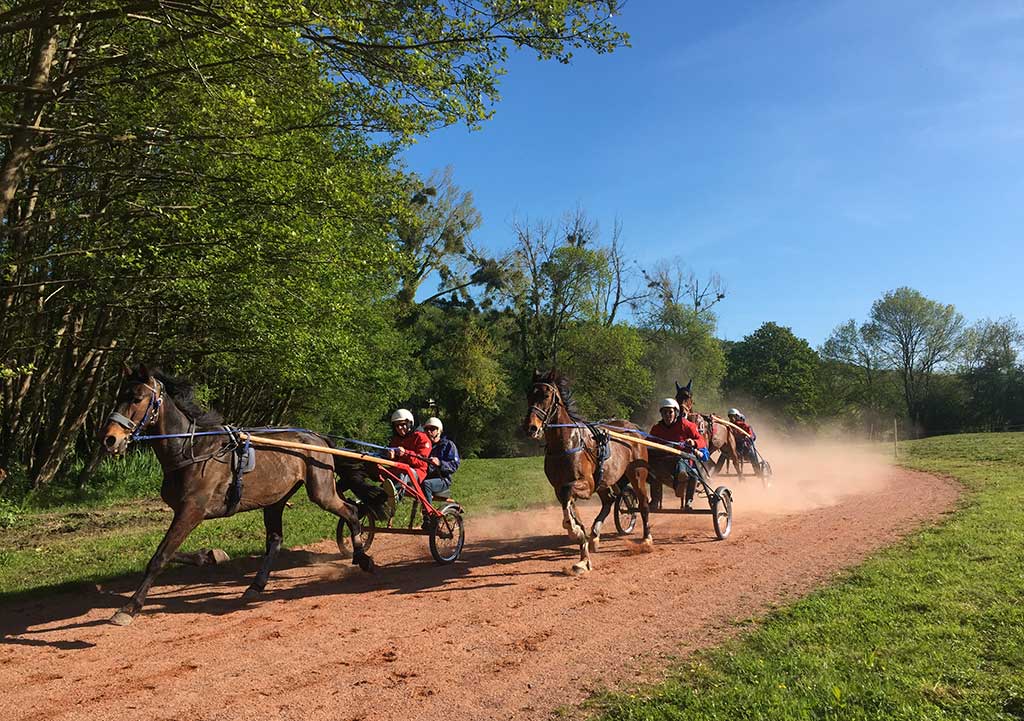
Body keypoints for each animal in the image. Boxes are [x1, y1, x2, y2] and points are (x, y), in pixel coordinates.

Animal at [99, 366, 387, 626]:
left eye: (137, 398)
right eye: (119, 396)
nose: (110, 439)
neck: (192, 450)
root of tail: (316, 437)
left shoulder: (192, 510)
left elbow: (160, 556)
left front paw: (129, 608)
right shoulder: (185, 512)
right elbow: (170, 552)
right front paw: (209, 555)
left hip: (321, 490)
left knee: (351, 512)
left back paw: (363, 558)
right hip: (275, 500)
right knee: (275, 540)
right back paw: (256, 585)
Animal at [524, 372, 651, 573]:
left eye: (546, 395)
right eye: (529, 394)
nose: (530, 427)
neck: (566, 443)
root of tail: (633, 428)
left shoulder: (586, 484)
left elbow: (568, 494)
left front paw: (572, 529)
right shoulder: (559, 487)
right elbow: (570, 506)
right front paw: (583, 555)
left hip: (637, 474)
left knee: (644, 503)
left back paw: (646, 539)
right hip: (604, 479)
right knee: (609, 500)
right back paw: (595, 535)